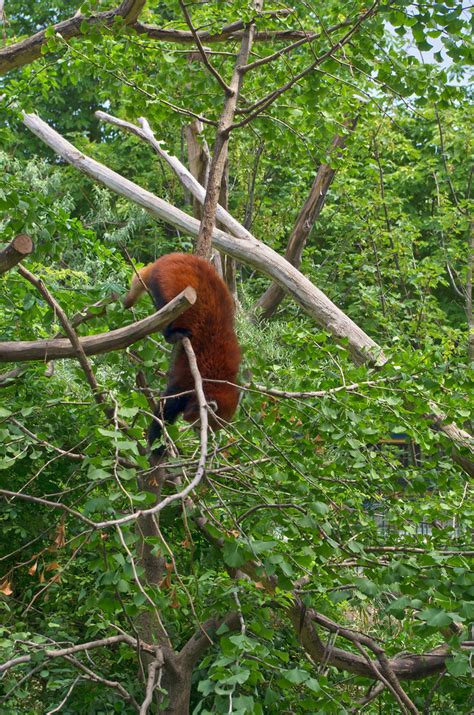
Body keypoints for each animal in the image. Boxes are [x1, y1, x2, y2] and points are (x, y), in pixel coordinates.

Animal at [123, 255, 241, 450]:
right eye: (200, 425)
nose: (196, 432)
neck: (217, 380)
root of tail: (172, 257)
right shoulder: (189, 379)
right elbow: (166, 408)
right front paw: (156, 442)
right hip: (168, 287)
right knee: (166, 312)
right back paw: (173, 334)